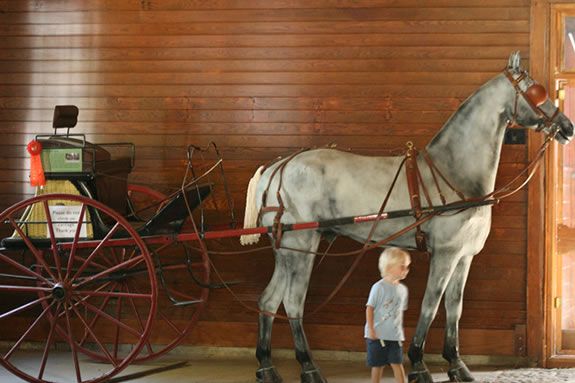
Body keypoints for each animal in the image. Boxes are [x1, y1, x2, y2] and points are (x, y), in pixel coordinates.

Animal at [242, 51, 575, 383]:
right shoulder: (445, 254)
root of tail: (278, 166)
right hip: (301, 247)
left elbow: (454, 308)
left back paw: (267, 366)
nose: (567, 127)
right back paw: (309, 367)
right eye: (536, 90)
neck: (454, 171)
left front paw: (456, 364)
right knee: (292, 302)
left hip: (286, 251)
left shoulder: (464, 256)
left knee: (269, 301)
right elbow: (431, 304)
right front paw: (418, 363)